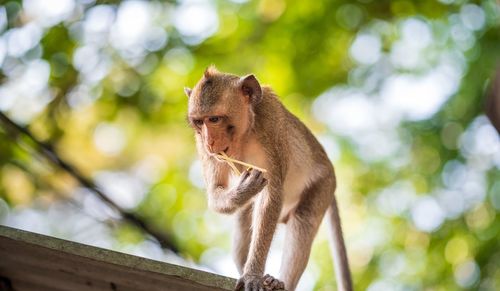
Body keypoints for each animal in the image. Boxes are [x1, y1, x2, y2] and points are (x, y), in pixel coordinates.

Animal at [184, 66, 352, 291]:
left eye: (214, 119)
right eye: (199, 122)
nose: (209, 141)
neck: (245, 133)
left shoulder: (271, 124)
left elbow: (271, 197)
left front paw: (252, 275)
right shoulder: (202, 147)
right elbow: (216, 193)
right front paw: (243, 190)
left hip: (324, 183)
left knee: (304, 219)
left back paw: (281, 282)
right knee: (244, 219)